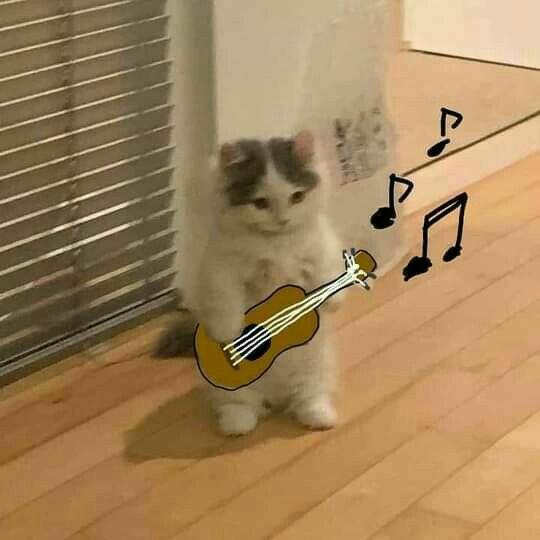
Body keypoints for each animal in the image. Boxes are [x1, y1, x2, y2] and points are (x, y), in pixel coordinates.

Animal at [157, 130, 348, 436]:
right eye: (260, 203)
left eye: (297, 196)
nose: (282, 220)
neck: (276, 243)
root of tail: (276, 397)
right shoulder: (220, 266)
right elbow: (225, 301)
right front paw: (228, 330)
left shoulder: (323, 245)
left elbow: (329, 272)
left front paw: (333, 303)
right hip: (230, 385)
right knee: (240, 406)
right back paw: (237, 424)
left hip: (317, 367)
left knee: (309, 396)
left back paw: (319, 416)